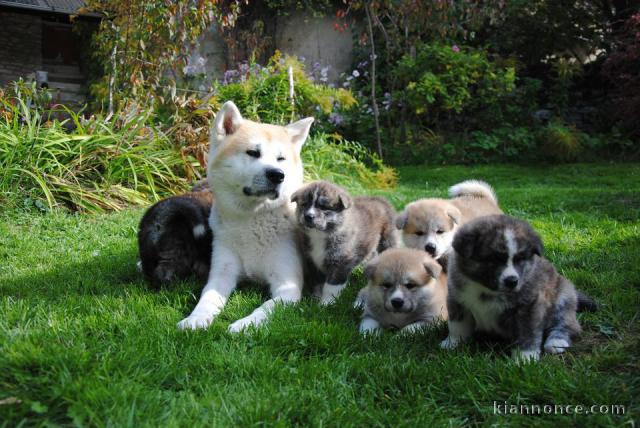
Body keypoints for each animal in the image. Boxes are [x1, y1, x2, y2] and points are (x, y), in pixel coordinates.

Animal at [176, 102, 314, 332]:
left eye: (281, 158)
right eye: (253, 152)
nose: (278, 175)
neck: (252, 219)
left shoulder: (287, 286)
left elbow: (265, 308)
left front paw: (245, 325)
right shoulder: (221, 274)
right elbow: (207, 299)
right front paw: (196, 318)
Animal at [440, 214, 596, 362]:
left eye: (520, 259)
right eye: (493, 259)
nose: (512, 281)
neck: (486, 290)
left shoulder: (528, 306)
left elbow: (527, 333)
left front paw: (525, 358)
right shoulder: (457, 300)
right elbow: (457, 325)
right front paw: (453, 343)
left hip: (563, 299)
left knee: (567, 325)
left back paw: (556, 342)